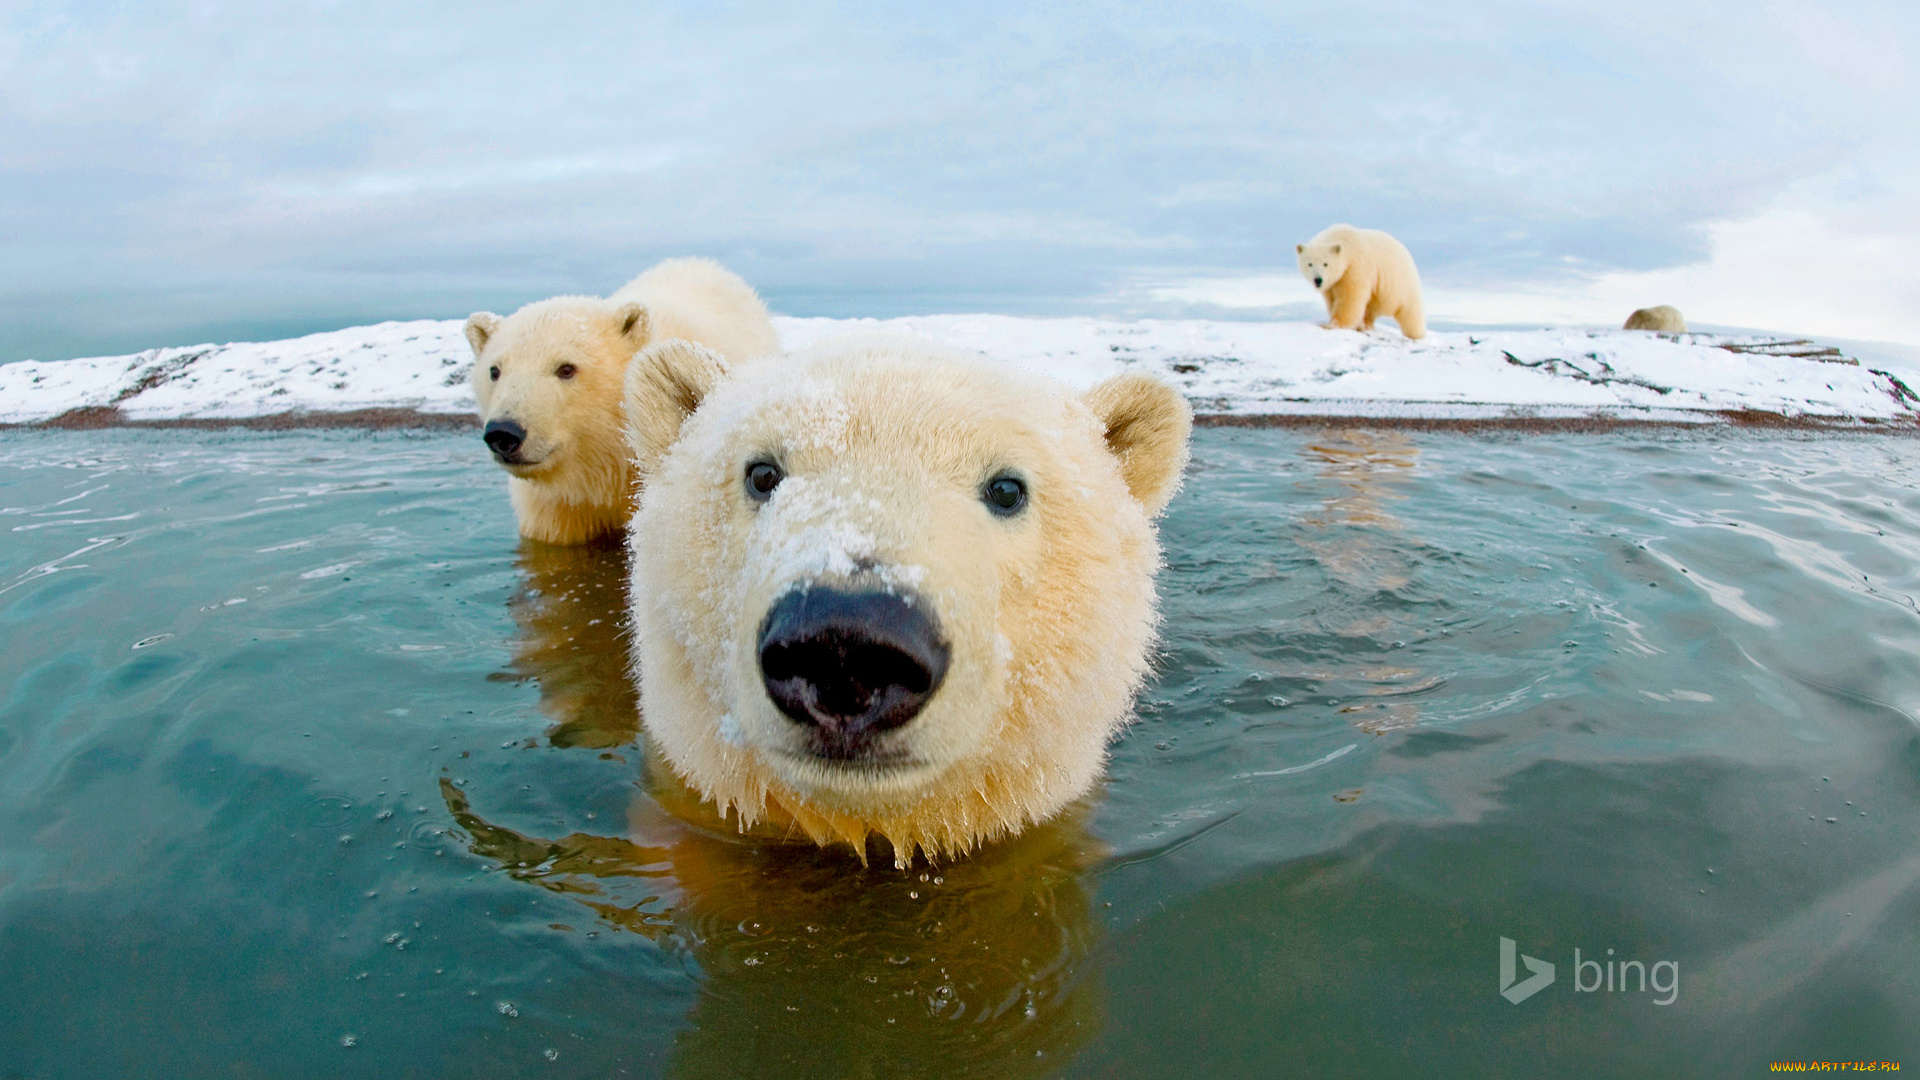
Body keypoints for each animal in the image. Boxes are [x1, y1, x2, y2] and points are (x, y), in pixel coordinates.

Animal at [1290, 225, 1428, 340]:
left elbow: (1350, 297)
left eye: (1325, 264)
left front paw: (1332, 325)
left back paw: (1416, 334)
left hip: (1402, 284)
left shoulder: (1354, 267)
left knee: (1410, 313)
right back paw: (1365, 325)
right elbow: (1332, 299)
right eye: (1309, 264)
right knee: (1370, 309)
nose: (1318, 280)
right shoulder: (1333, 283)